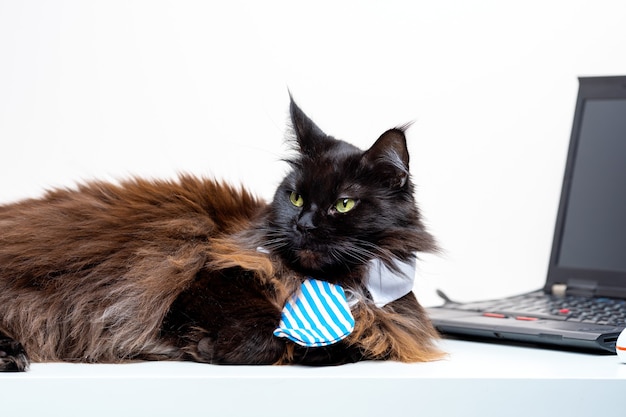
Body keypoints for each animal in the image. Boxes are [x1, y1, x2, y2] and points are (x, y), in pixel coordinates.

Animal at [0, 97, 438, 370]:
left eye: (343, 204)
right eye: (296, 197)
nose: (303, 224)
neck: (328, 283)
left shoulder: (382, 327)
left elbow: (349, 344)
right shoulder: (197, 279)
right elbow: (267, 328)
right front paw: (205, 348)